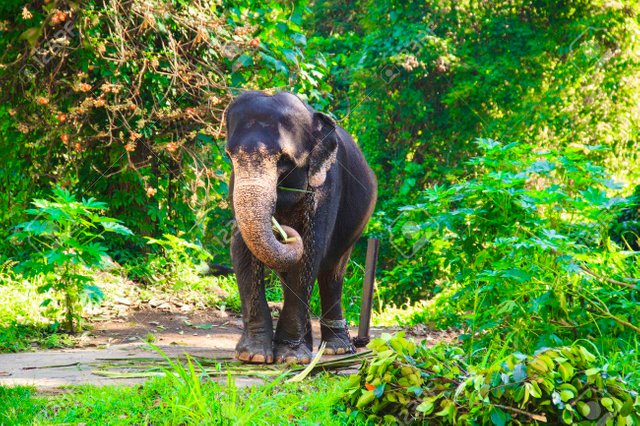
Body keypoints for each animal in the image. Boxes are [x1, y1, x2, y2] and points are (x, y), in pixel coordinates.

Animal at [225, 91, 376, 364]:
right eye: (229, 156)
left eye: (284, 160)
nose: (283, 232)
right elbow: (242, 249)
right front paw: (254, 356)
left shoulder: (327, 185)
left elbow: (311, 249)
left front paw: (291, 358)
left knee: (332, 271)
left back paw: (336, 349)